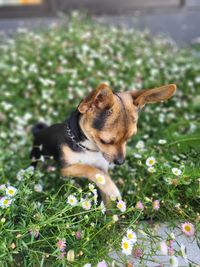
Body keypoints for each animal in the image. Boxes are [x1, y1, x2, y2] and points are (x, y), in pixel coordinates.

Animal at [30, 84, 176, 205]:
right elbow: (89, 169)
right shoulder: (66, 169)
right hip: (36, 157)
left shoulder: (102, 168)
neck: (89, 148)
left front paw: (109, 216)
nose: (120, 162)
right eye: (105, 141)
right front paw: (111, 188)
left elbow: (103, 183)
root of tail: (38, 132)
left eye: (129, 138)